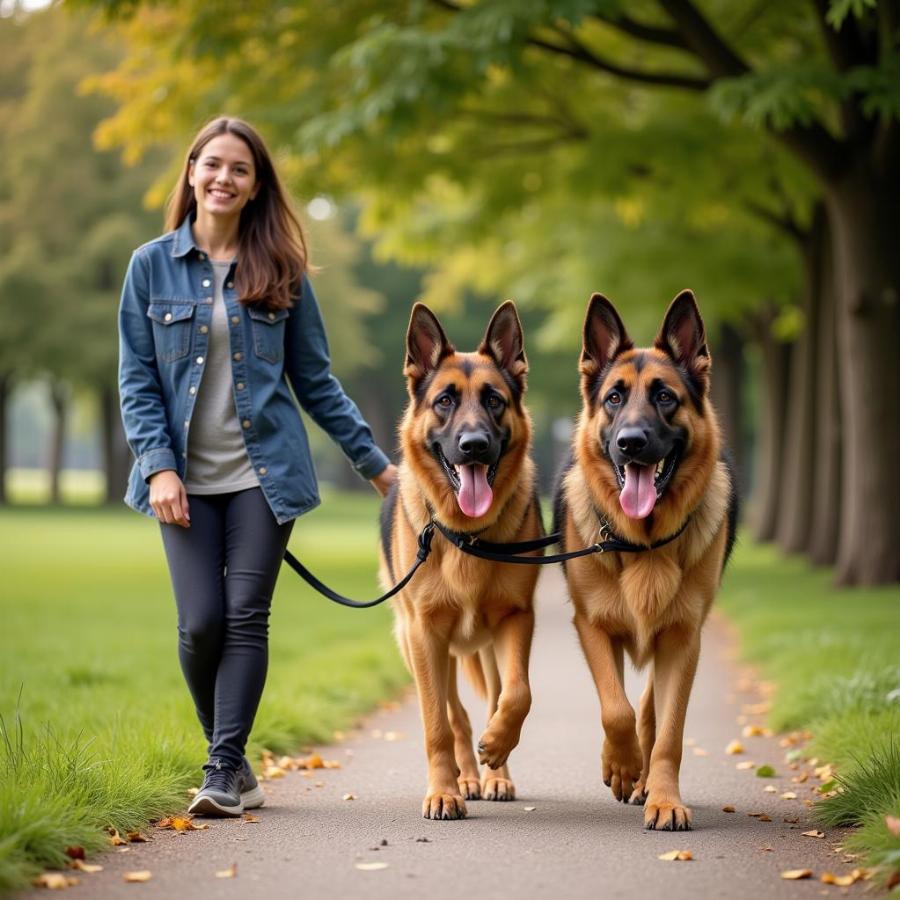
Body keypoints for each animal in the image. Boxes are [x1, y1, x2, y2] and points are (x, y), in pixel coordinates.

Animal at [380, 298, 540, 820]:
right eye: (445, 401)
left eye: (494, 400)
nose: (473, 446)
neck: (466, 536)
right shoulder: (425, 634)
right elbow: (438, 724)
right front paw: (443, 790)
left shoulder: (517, 619)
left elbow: (516, 693)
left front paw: (499, 747)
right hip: (420, 647)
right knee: (455, 715)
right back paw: (464, 778)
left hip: (485, 647)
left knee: (490, 698)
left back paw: (493, 775)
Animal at [556, 292, 740, 832]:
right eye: (614, 398)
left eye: (665, 397)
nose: (631, 442)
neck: (645, 543)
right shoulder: (593, 626)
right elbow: (613, 709)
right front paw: (621, 766)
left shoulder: (683, 639)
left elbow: (668, 731)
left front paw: (662, 798)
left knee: (651, 708)